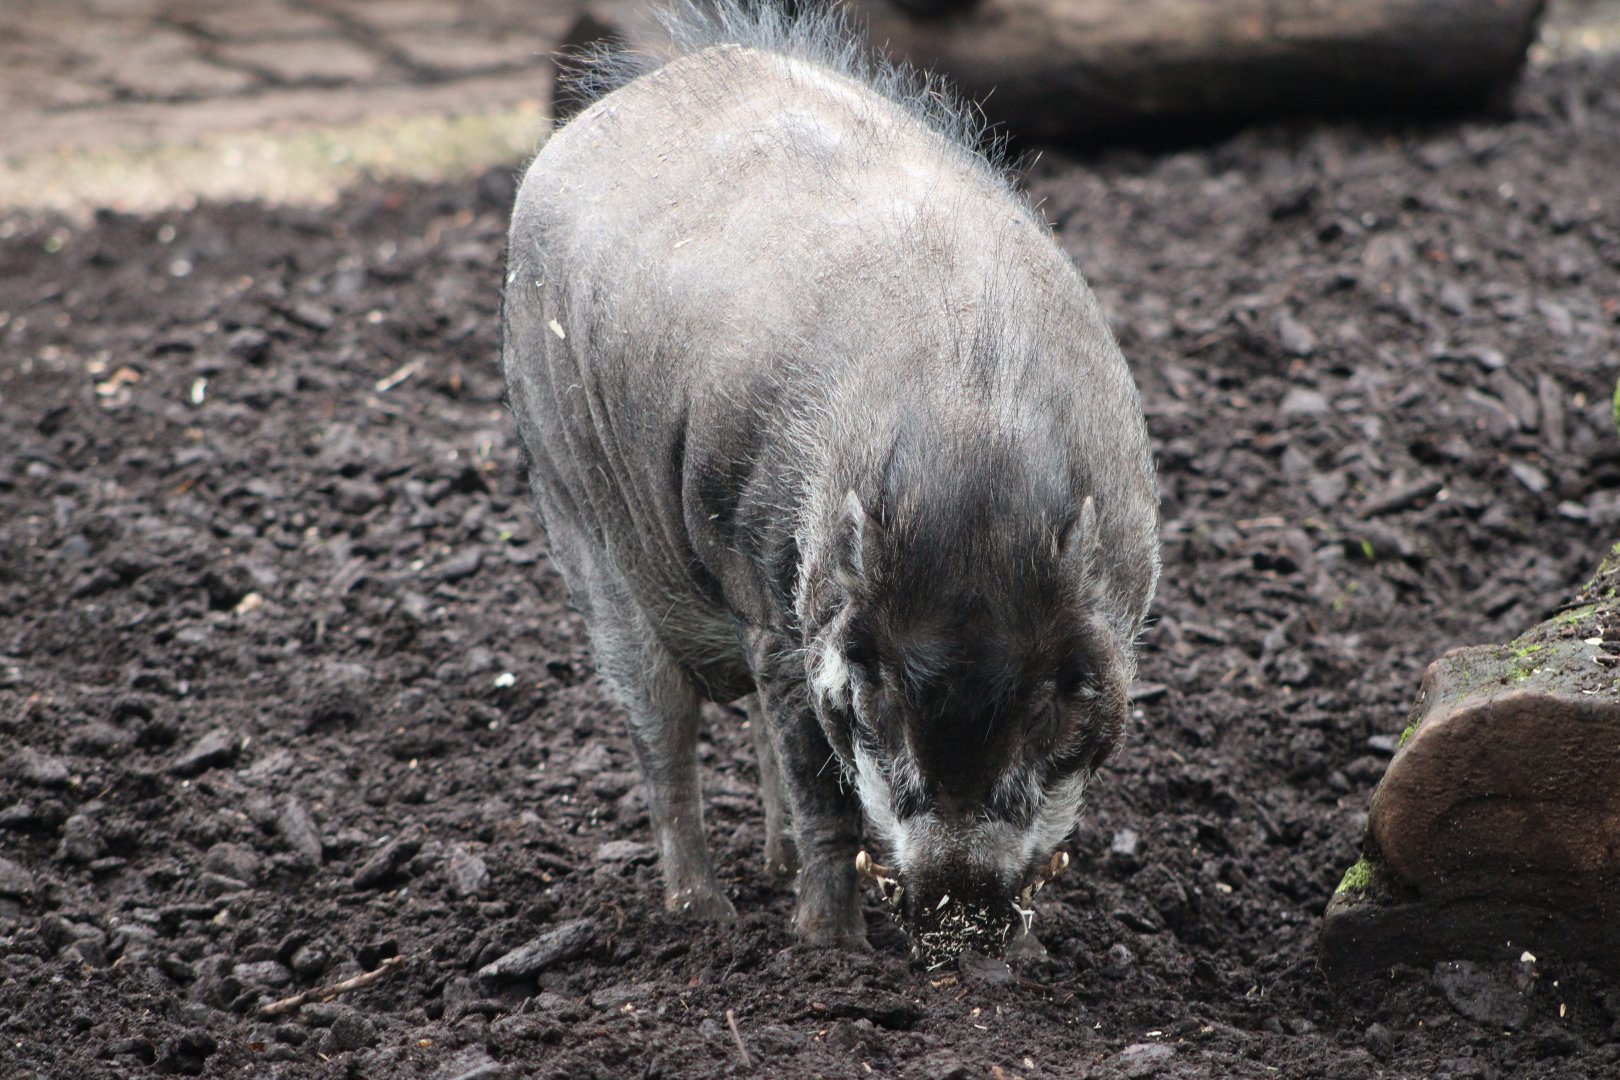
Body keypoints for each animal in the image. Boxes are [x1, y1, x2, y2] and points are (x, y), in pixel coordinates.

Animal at [499, 1, 1159, 959]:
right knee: (663, 733)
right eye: (874, 676)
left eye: (1055, 693)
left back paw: (768, 873)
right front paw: (830, 951)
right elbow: (824, 795)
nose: (959, 899)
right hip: (578, 519)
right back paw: (706, 915)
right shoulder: (785, 619)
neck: (972, 458)